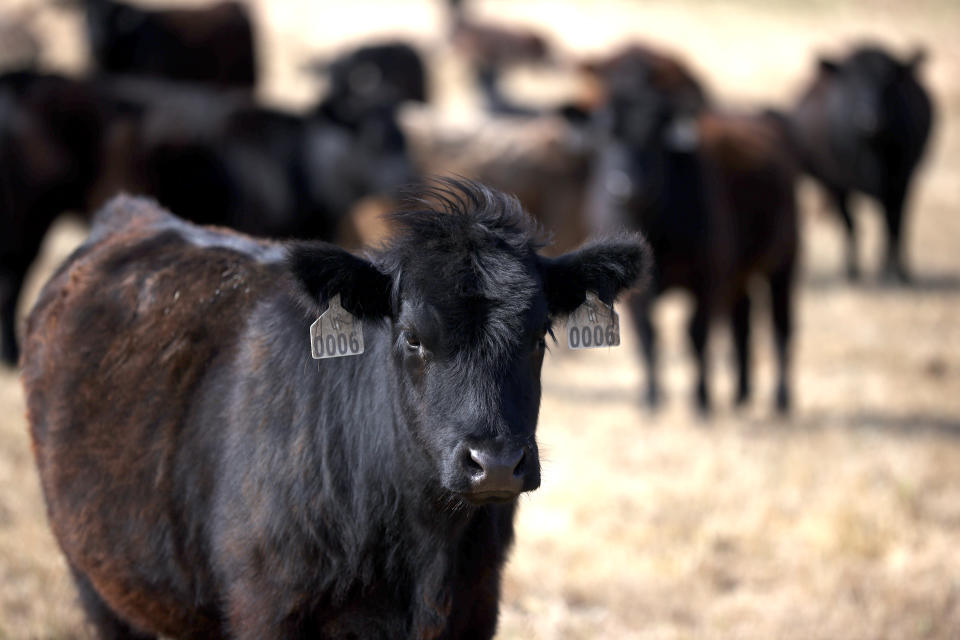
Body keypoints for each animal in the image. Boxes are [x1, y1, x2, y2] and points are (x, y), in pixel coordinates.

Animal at [24, 180, 652, 640]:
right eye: (412, 337)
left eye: (539, 334)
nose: (495, 462)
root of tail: (133, 215)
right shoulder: (267, 609)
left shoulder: (476, 609)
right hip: (97, 582)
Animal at [788, 45, 928, 282]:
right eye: (850, 82)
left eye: (888, 83)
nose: (869, 119)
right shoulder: (837, 185)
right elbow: (851, 223)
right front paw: (851, 270)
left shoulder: (901, 181)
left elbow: (895, 225)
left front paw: (897, 273)